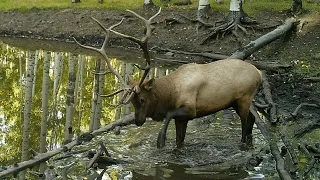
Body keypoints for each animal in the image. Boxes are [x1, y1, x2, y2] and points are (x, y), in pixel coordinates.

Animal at [75, 8, 262, 149]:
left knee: (245, 123)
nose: (138, 121)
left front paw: (161, 140)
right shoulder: (182, 119)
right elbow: (179, 141)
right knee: (252, 119)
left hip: (244, 98)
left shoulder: (190, 109)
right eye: (132, 101)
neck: (171, 94)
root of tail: (259, 74)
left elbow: (169, 115)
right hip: (236, 101)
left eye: (142, 99)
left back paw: (243, 144)